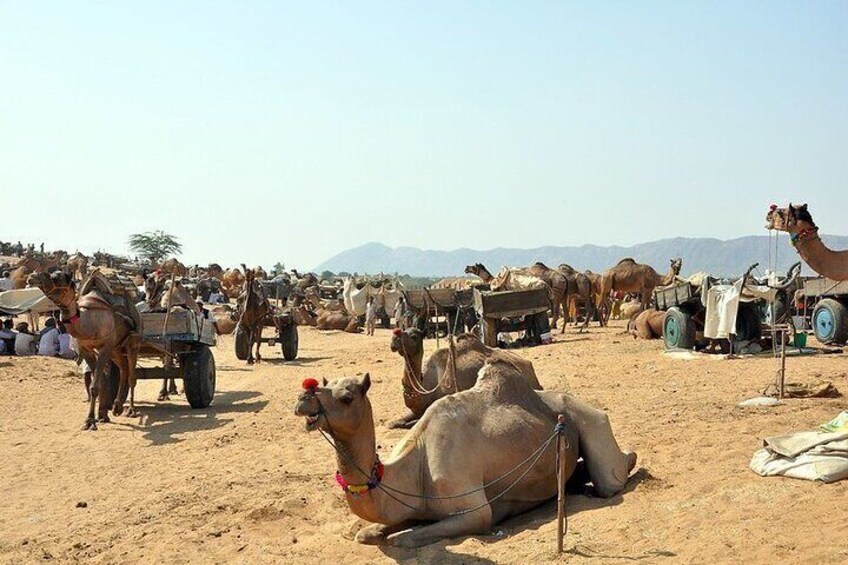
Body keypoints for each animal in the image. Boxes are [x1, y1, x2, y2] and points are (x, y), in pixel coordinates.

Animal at [30, 270, 141, 428]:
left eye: (57, 277)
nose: (32, 277)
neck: (88, 323)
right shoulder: (86, 349)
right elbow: (99, 383)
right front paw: (101, 416)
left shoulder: (105, 348)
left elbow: (94, 387)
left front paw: (90, 421)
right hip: (116, 349)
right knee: (123, 368)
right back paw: (117, 407)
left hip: (133, 343)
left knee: (132, 376)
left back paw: (131, 410)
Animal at [296, 360, 636, 548]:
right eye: (326, 385)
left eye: (346, 396)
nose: (304, 396)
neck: (415, 466)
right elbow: (369, 533)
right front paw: (374, 531)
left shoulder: (474, 510)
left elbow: (403, 538)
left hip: (590, 419)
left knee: (611, 478)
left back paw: (625, 461)